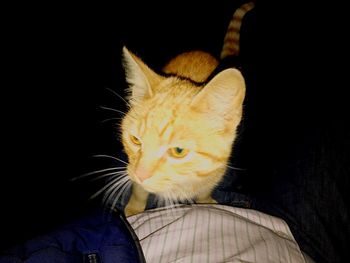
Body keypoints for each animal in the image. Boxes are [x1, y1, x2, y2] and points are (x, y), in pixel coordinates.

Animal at [120, 47, 246, 217]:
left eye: (178, 151)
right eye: (135, 140)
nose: (140, 175)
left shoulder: (215, 174)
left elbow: (204, 192)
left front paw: (206, 202)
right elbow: (139, 192)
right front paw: (134, 210)